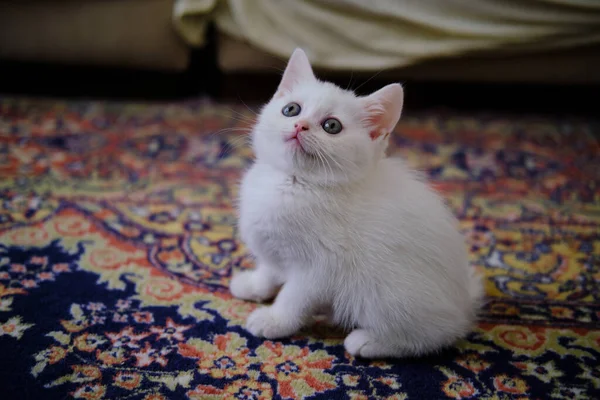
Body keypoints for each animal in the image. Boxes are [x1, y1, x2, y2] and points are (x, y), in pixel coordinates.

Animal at [230, 48, 482, 358]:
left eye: (332, 126)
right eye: (291, 109)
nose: (300, 125)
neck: (292, 183)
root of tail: (464, 305)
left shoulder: (321, 266)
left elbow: (294, 297)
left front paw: (275, 321)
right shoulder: (272, 247)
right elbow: (269, 269)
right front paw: (254, 286)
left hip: (384, 292)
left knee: (436, 334)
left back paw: (368, 341)